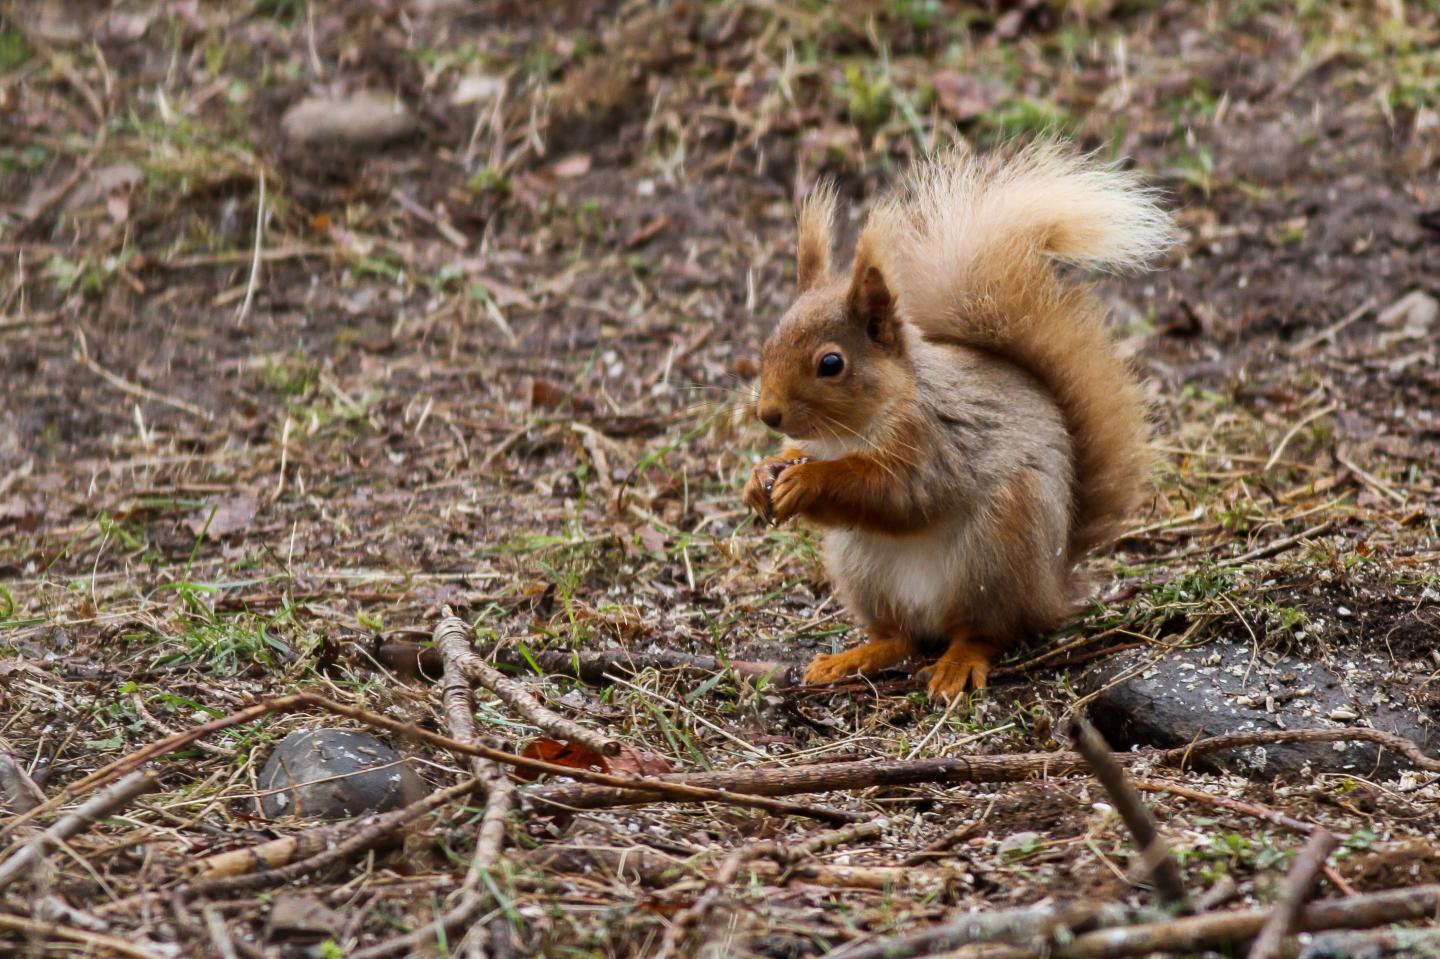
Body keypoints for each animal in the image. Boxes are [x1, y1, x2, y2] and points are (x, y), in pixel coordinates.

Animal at [748, 138, 1175, 699]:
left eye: (831, 364)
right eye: (768, 341)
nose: (768, 414)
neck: (854, 431)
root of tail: (1052, 587)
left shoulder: (932, 444)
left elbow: (895, 495)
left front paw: (807, 481)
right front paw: (761, 477)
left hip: (998, 548)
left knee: (986, 632)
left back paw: (956, 666)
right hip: (862, 570)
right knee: (902, 637)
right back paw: (852, 658)